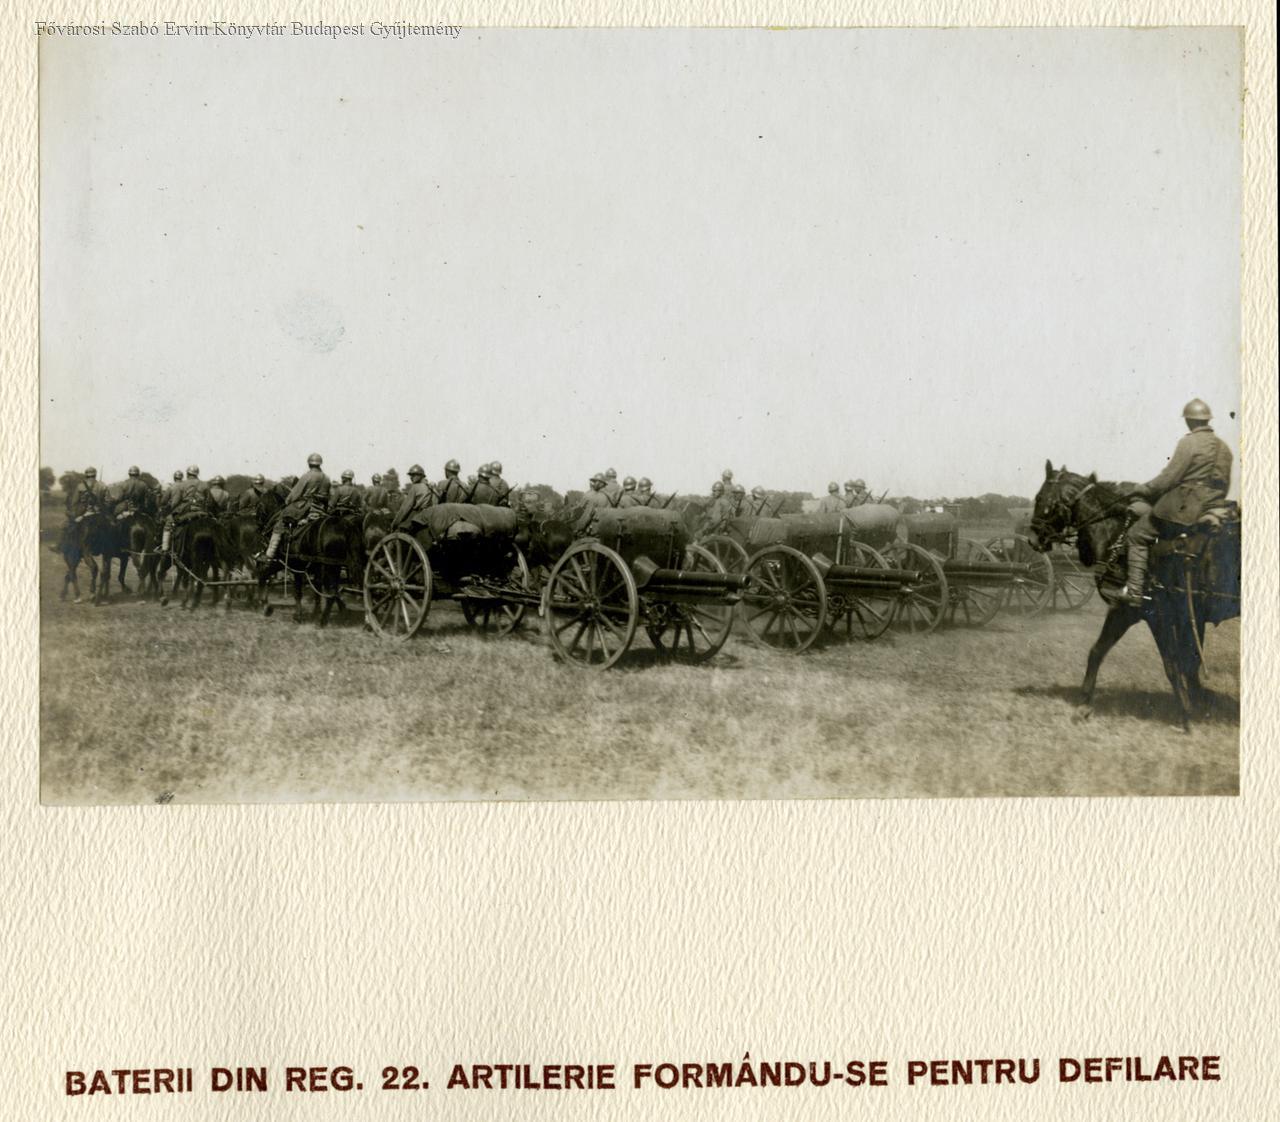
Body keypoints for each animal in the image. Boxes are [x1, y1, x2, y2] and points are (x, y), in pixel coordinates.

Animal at [1028, 461, 1240, 731]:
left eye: (1039, 498)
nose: (1032, 539)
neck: (1117, 537)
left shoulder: (1139, 612)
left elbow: (1171, 664)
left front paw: (1186, 714)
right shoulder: (1185, 616)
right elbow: (1186, 663)